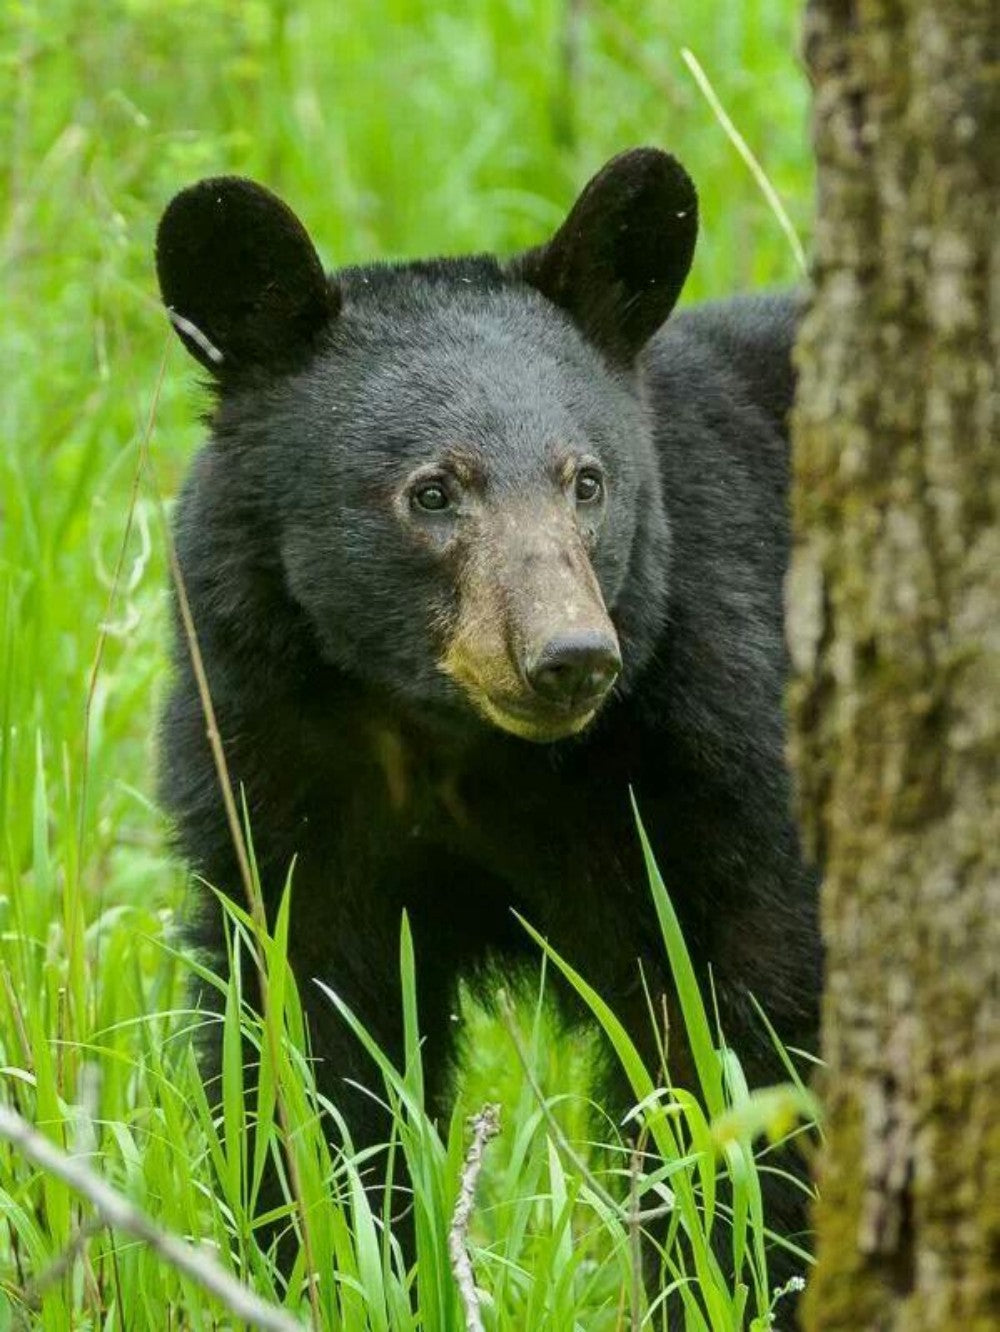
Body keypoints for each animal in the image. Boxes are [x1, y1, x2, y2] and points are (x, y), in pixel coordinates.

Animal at [155, 148, 820, 1317]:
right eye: (432, 491)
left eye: (587, 481)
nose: (571, 655)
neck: (446, 737)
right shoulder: (272, 762)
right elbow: (305, 1051)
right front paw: (327, 1273)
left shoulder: (718, 757)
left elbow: (742, 1046)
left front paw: (733, 1281)